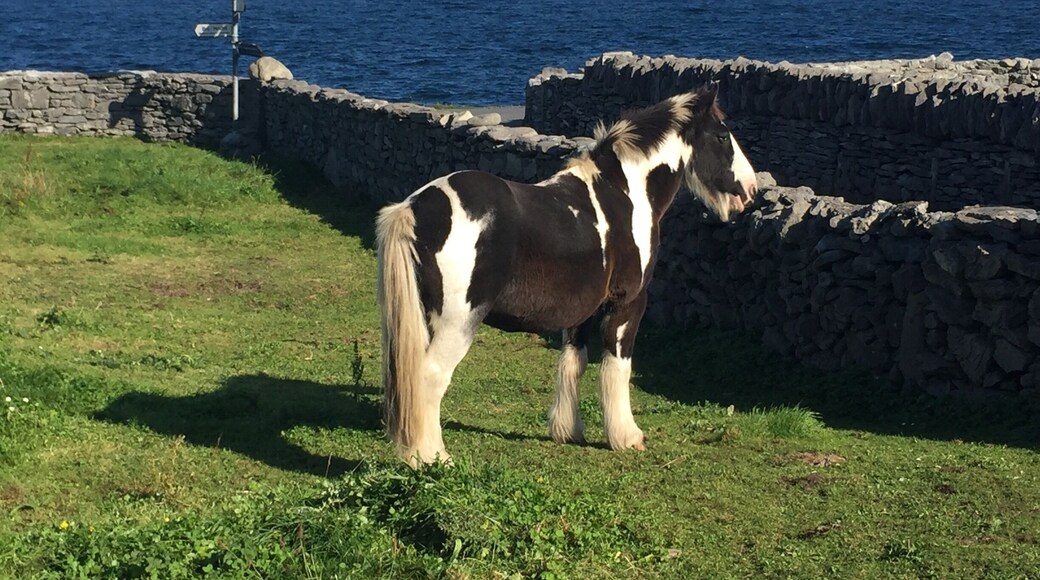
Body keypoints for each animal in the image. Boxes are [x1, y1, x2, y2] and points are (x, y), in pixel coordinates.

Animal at [376, 83, 757, 465]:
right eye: (722, 135)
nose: (750, 189)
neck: (624, 194)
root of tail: (416, 209)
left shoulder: (581, 312)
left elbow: (573, 363)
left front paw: (567, 430)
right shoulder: (627, 305)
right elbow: (617, 367)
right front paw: (627, 437)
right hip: (457, 322)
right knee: (429, 378)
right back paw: (430, 457)